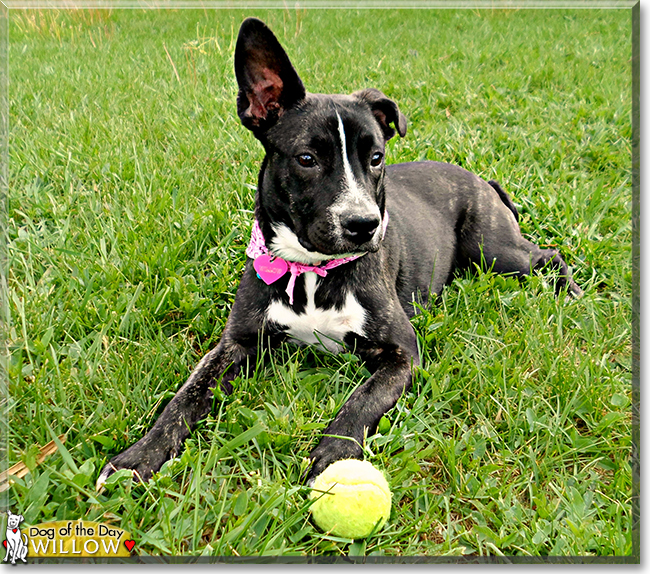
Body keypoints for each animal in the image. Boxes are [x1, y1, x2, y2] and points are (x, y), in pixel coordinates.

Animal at [97, 15, 584, 488]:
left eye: (376, 157)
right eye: (307, 159)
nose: (364, 224)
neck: (312, 271)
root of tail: (480, 178)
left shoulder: (402, 352)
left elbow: (361, 400)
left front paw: (334, 456)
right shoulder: (237, 344)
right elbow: (183, 398)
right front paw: (137, 458)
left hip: (494, 251)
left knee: (549, 254)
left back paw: (573, 292)